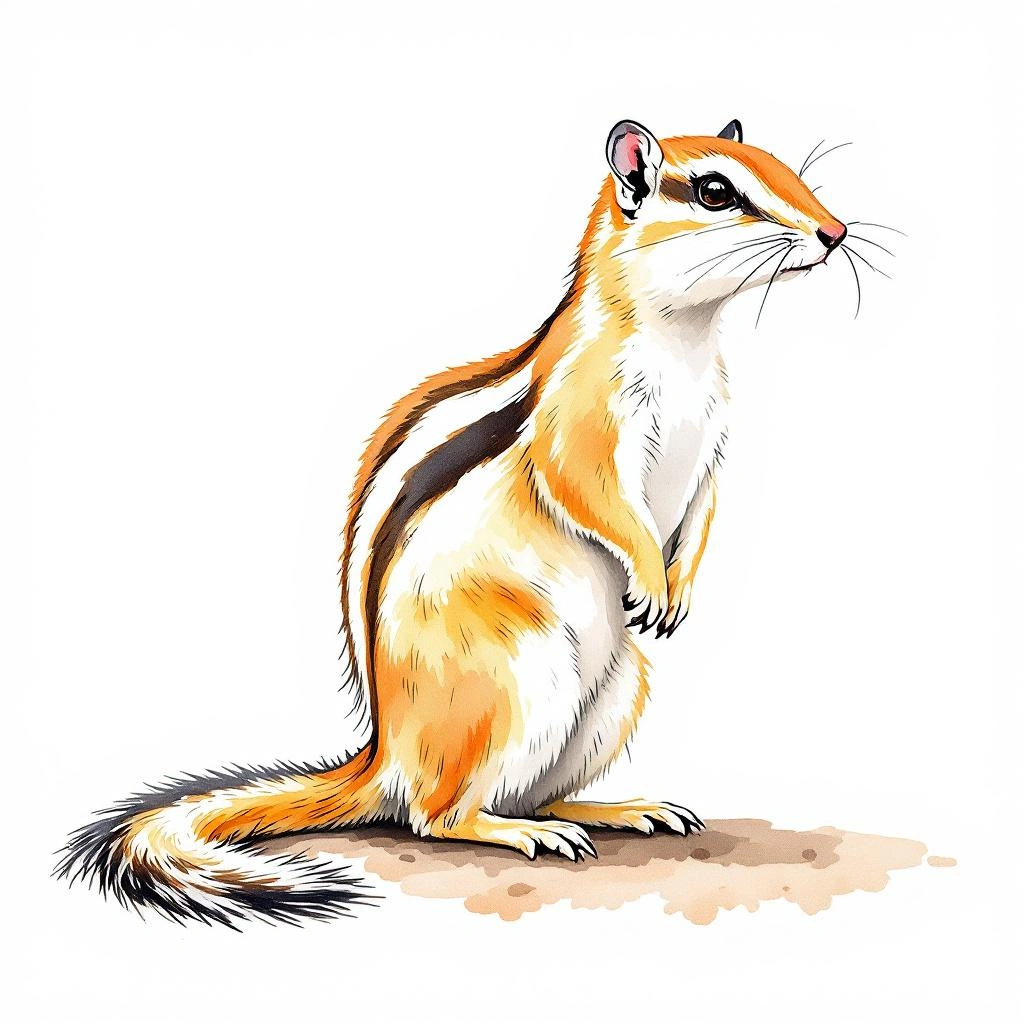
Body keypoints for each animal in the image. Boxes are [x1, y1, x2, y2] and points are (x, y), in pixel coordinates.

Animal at [58, 118, 848, 926]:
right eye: (716, 191)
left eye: (781, 166)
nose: (836, 232)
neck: (685, 338)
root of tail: (383, 758)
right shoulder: (582, 422)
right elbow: (592, 494)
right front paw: (653, 577)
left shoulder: (713, 446)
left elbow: (702, 510)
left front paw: (679, 587)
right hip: (510, 684)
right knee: (437, 817)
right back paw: (518, 832)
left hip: (617, 691)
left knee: (536, 795)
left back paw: (615, 810)